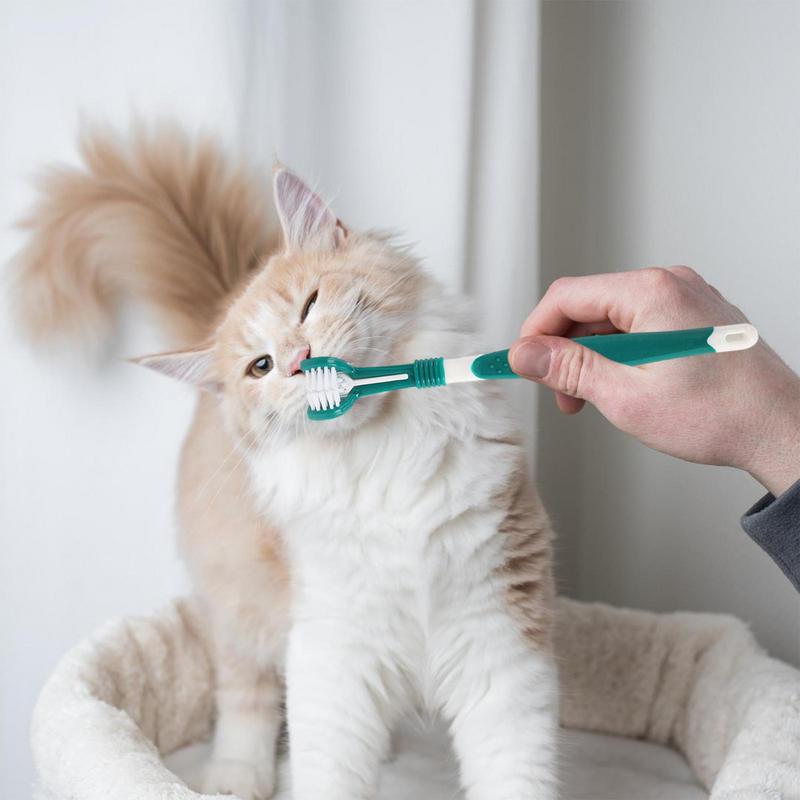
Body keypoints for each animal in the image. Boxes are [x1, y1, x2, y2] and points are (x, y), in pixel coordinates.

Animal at [15, 125, 560, 800]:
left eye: (309, 305)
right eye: (261, 367)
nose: (301, 360)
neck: (384, 455)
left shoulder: (498, 632)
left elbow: (514, 768)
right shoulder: (332, 648)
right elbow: (326, 765)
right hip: (239, 607)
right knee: (244, 695)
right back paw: (236, 776)